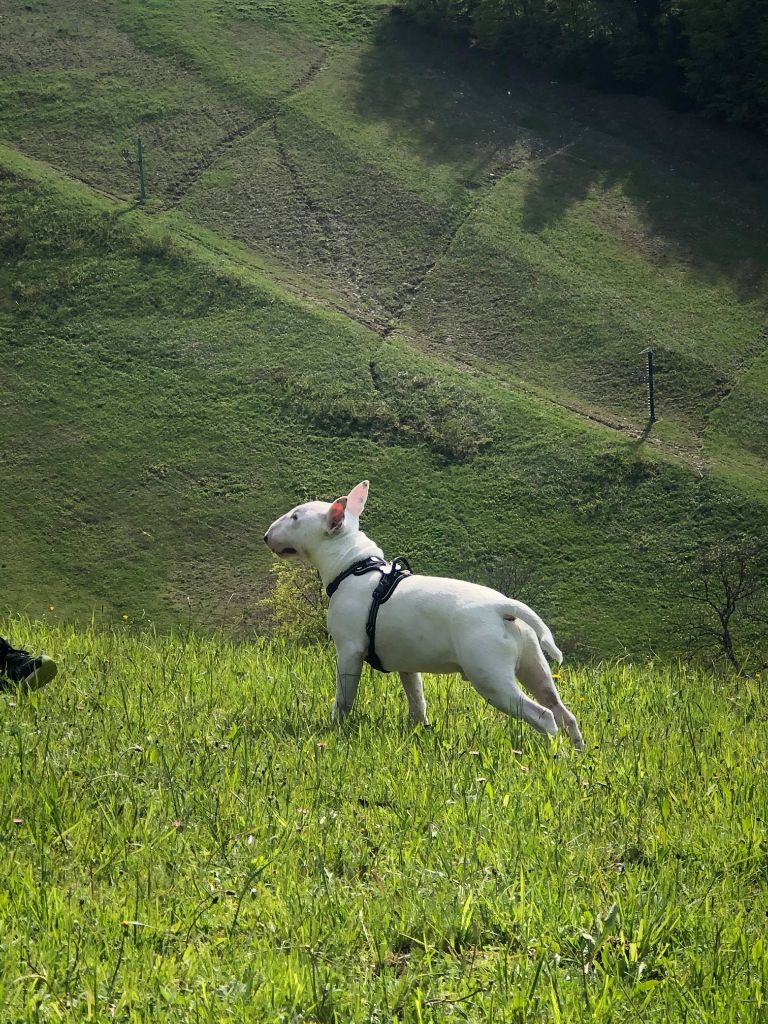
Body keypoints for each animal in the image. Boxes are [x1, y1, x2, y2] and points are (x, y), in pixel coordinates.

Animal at [264, 483, 581, 749]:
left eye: (295, 517)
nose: (266, 537)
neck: (353, 567)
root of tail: (503, 607)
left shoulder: (349, 652)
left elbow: (344, 698)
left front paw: (335, 728)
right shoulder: (408, 666)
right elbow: (417, 700)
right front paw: (420, 729)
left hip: (491, 678)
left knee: (544, 717)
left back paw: (555, 753)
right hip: (534, 668)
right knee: (563, 712)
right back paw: (577, 753)